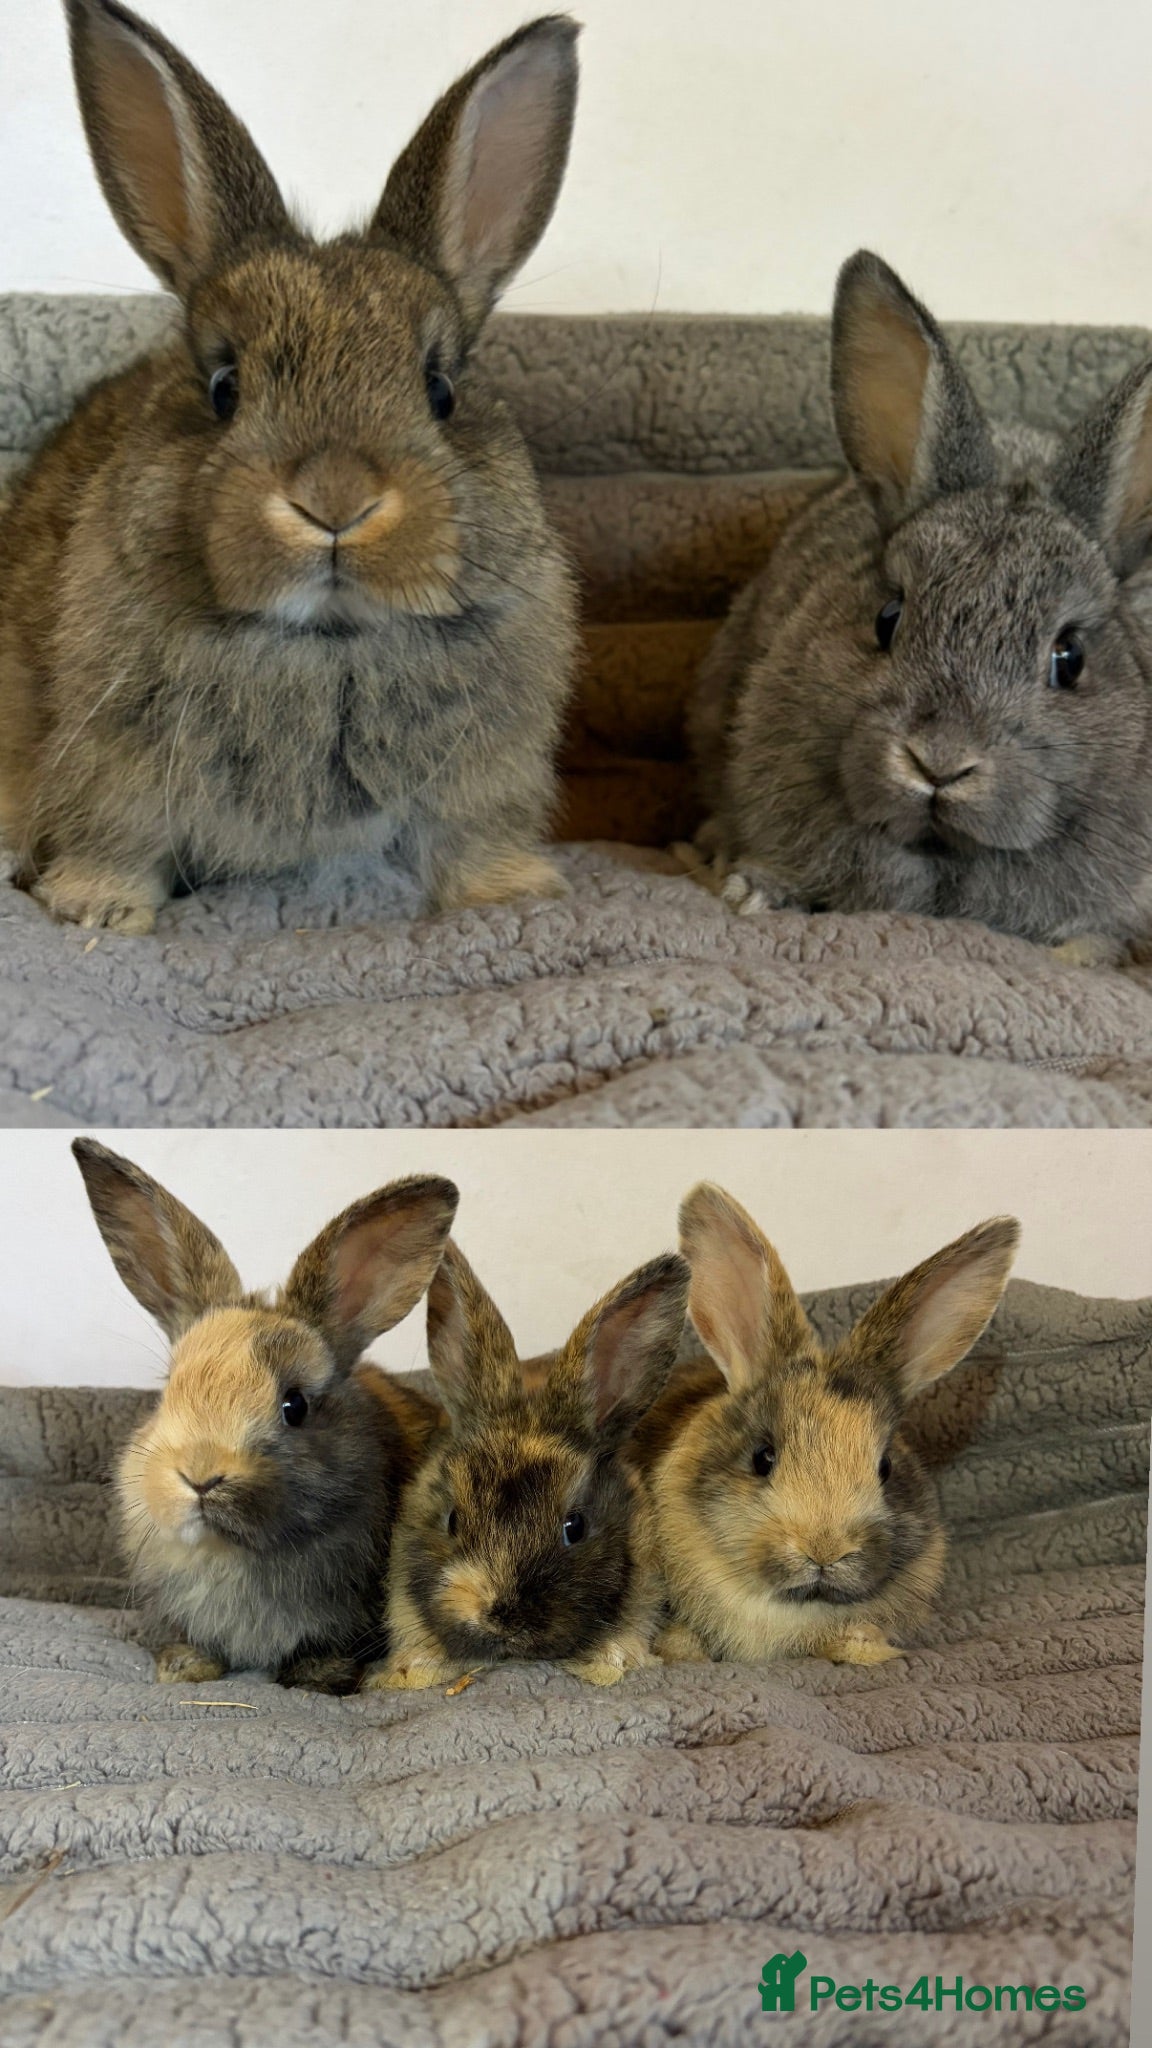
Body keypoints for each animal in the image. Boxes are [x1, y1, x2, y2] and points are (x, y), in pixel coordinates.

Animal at [0, 0, 581, 934]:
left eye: (442, 389)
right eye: (224, 387)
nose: (335, 500)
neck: (328, 639)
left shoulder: (484, 777)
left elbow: (473, 840)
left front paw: (509, 895)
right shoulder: (111, 767)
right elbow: (115, 840)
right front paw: (99, 911)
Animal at [74, 1137, 457, 1688]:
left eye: (294, 1405)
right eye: (168, 1389)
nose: (200, 1476)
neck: (229, 1550)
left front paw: (317, 1677)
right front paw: (185, 1667)